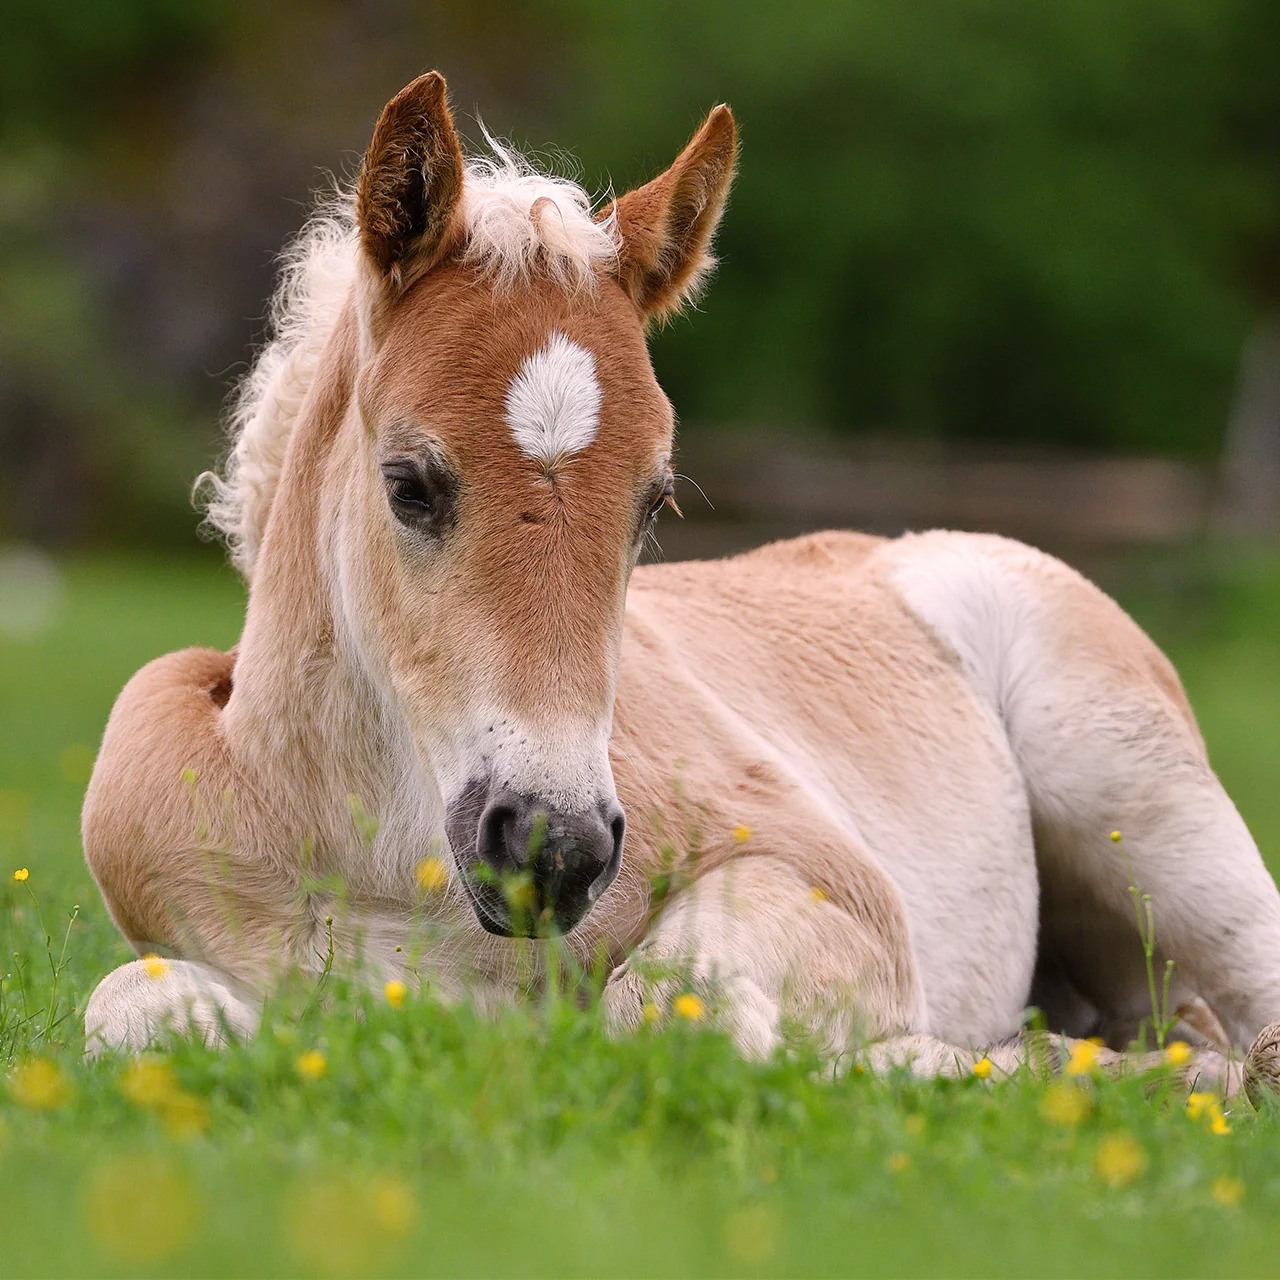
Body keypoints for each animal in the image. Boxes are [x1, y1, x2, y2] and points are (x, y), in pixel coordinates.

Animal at [82, 71, 1280, 1094]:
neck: (383, 856)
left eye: (653, 501)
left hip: (1144, 810)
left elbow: (667, 1010)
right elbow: (127, 1011)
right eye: (408, 484)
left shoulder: (823, 873)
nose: (552, 849)